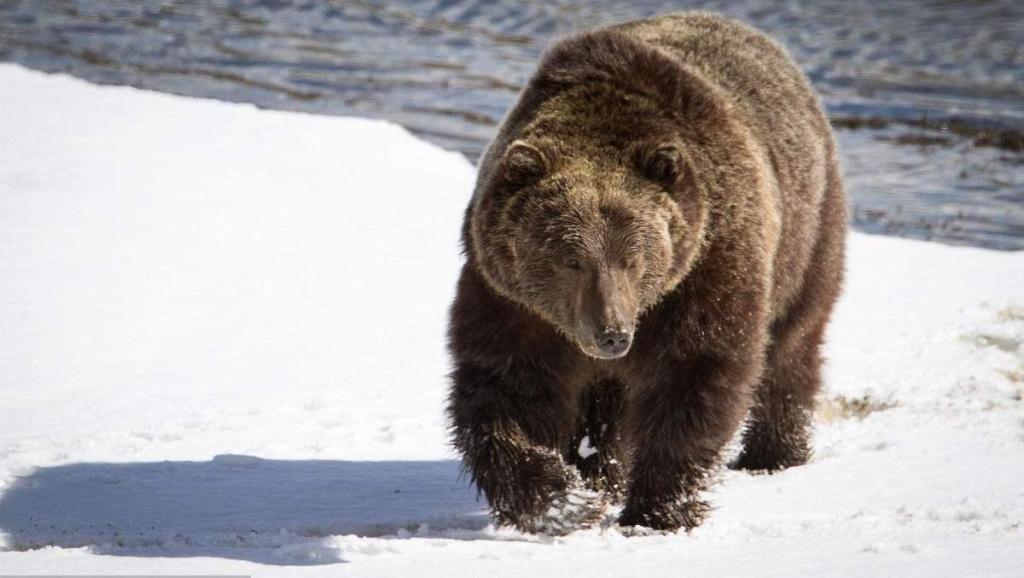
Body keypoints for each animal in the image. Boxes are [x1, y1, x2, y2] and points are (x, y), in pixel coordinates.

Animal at [444, 11, 843, 537]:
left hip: (806, 231)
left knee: (792, 344)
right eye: (570, 259)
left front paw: (657, 510)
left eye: (633, 259)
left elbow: (694, 374)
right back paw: (601, 472)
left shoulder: (704, 268)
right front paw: (565, 501)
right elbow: (506, 388)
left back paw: (773, 453)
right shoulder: (510, 296)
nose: (612, 334)